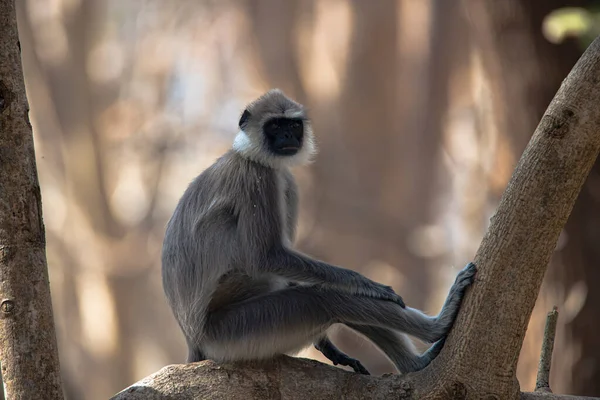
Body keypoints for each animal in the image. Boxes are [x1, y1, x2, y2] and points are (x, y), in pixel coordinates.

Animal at [161, 88, 478, 376]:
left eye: (293, 126)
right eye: (275, 126)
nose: (287, 138)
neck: (247, 156)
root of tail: (196, 342)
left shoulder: (284, 180)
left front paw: (328, 346)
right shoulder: (259, 178)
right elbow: (267, 257)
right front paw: (366, 283)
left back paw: (414, 364)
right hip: (236, 332)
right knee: (325, 299)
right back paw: (436, 327)